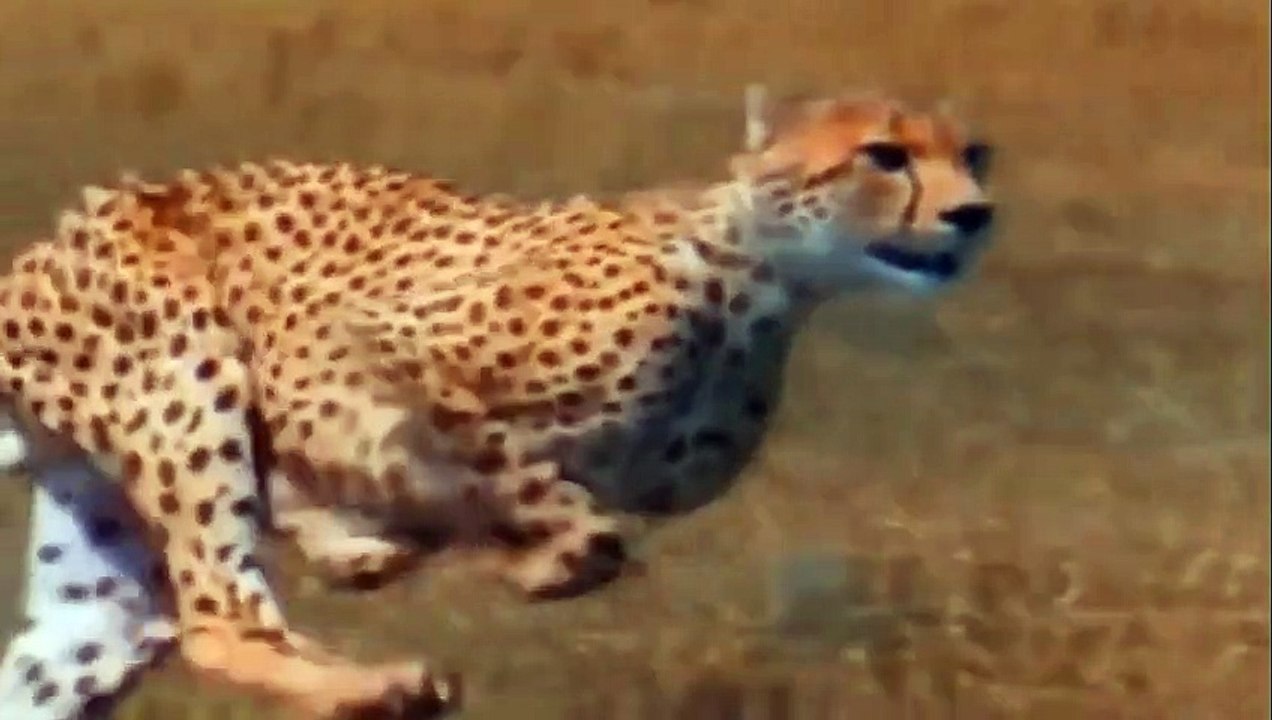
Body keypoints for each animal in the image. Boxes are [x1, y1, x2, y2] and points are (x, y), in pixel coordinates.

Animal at [0, 86, 994, 719]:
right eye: (885, 155)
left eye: (973, 154)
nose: (974, 213)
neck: (770, 281)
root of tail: (39, 250)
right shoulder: (342, 354)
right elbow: (552, 494)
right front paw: (534, 563)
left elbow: (500, 506)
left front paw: (396, 551)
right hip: (187, 371)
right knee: (218, 616)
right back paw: (381, 688)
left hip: (102, 590)